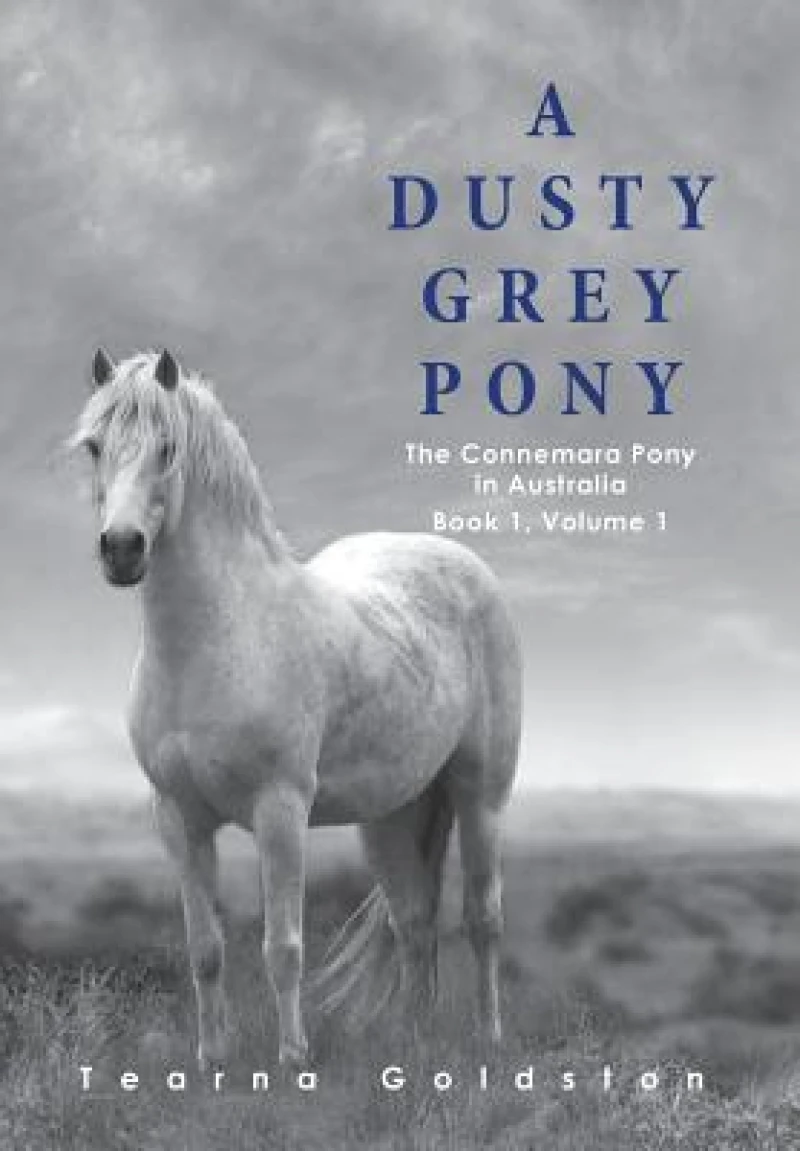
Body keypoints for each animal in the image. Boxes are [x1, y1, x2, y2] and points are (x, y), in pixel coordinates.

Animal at [70, 347, 522, 1068]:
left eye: (168, 446)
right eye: (94, 446)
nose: (121, 549)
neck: (221, 635)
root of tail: (465, 563)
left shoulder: (279, 811)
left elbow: (282, 947)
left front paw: (292, 1058)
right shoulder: (179, 818)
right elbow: (206, 949)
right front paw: (212, 1058)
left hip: (480, 795)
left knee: (483, 919)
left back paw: (488, 1038)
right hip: (392, 815)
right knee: (414, 921)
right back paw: (413, 1041)